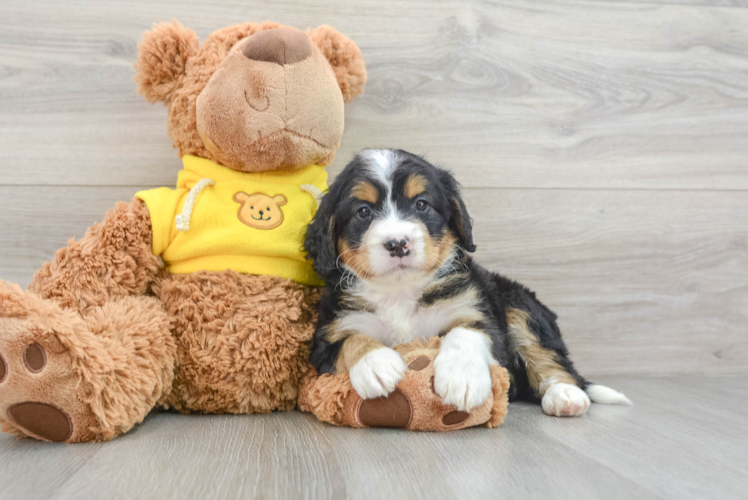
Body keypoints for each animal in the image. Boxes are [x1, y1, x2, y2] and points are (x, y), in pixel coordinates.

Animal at [304, 150, 632, 416]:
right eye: (363, 211)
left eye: (421, 205)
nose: (397, 243)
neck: (401, 291)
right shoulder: (328, 334)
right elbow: (351, 339)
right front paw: (376, 366)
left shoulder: (476, 309)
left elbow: (465, 332)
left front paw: (461, 378)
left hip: (518, 303)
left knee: (549, 358)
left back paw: (565, 395)